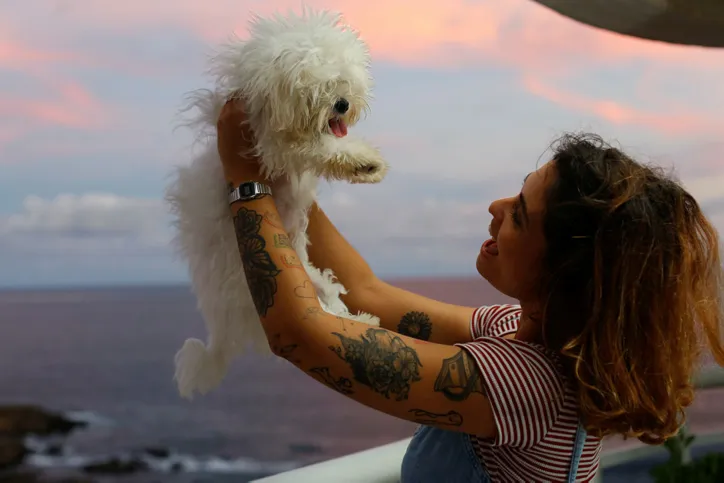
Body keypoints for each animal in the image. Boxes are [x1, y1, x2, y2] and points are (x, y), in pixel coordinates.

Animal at [166, 8, 388, 400]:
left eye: (342, 82)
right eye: (318, 87)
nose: (343, 104)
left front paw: (366, 165)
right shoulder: (270, 145)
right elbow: (318, 148)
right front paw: (360, 160)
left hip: (309, 281)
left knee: (331, 306)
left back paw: (362, 320)